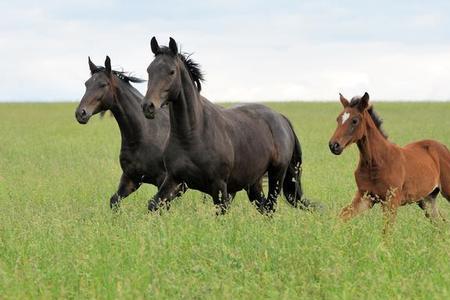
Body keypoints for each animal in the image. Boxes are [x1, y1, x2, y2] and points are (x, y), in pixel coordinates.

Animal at [74, 56, 180, 209]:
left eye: (103, 84)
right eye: (86, 84)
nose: (80, 113)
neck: (145, 133)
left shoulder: (166, 182)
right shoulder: (131, 178)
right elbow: (114, 201)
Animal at [141, 37, 312, 213]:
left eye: (171, 72)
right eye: (149, 71)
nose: (148, 106)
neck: (192, 135)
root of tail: (282, 119)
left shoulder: (219, 187)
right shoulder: (175, 181)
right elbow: (153, 204)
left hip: (276, 174)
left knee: (270, 206)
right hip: (253, 182)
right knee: (265, 208)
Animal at [326, 92, 450, 231]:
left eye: (355, 121)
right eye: (338, 119)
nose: (334, 145)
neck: (375, 163)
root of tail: (442, 146)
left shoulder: (391, 201)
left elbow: (387, 231)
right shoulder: (365, 197)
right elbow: (341, 216)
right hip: (427, 199)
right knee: (440, 224)